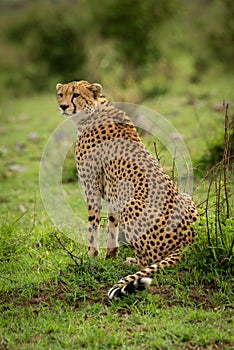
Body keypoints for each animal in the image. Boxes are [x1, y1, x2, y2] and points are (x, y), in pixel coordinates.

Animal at [55, 80, 198, 300]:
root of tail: (186, 241)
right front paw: (110, 256)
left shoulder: (92, 189)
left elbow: (92, 226)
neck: (93, 111)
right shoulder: (114, 193)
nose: (63, 106)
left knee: (147, 260)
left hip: (132, 205)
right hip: (185, 197)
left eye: (76, 94)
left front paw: (91, 257)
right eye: (61, 94)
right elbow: (112, 225)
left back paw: (130, 261)